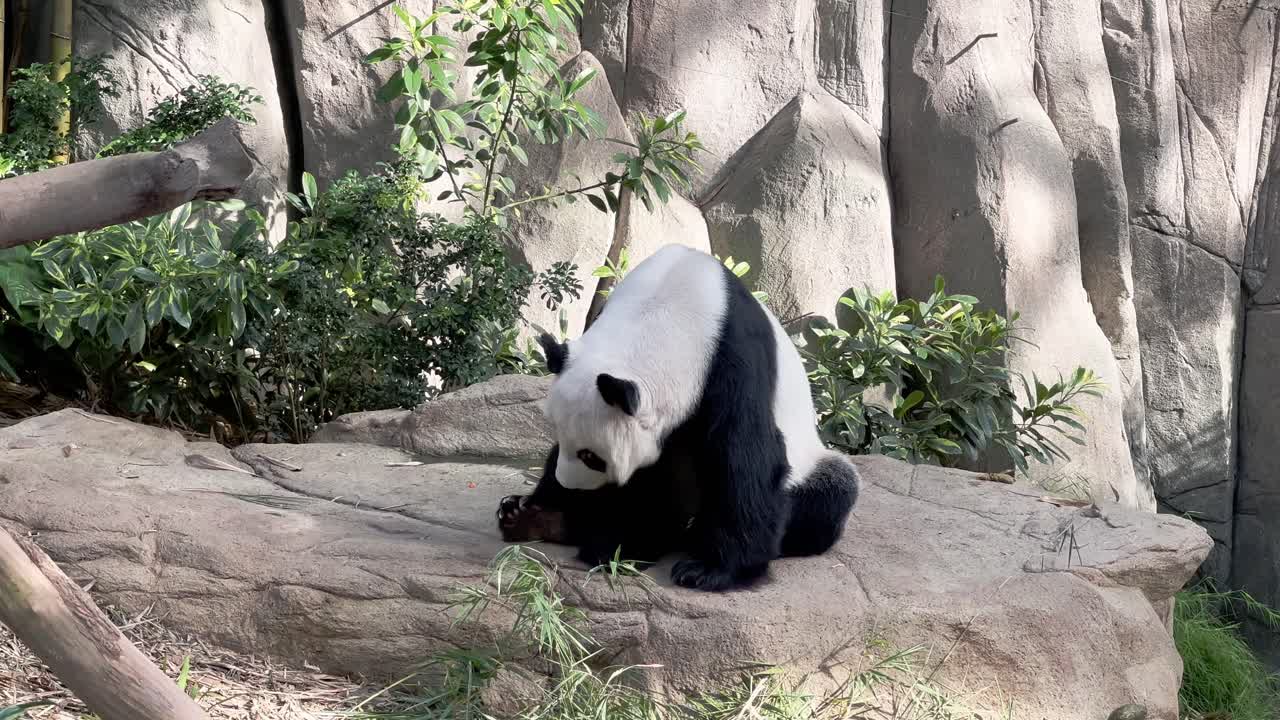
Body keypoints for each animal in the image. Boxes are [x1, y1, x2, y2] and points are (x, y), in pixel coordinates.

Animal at [496, 244, 860, 592]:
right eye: (559, 435)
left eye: (591, 456)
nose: (570, 485)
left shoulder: (735, 361)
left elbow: (743, 459)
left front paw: (709, 571)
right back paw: (535, 518)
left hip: (811, 467)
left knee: (831, 493)